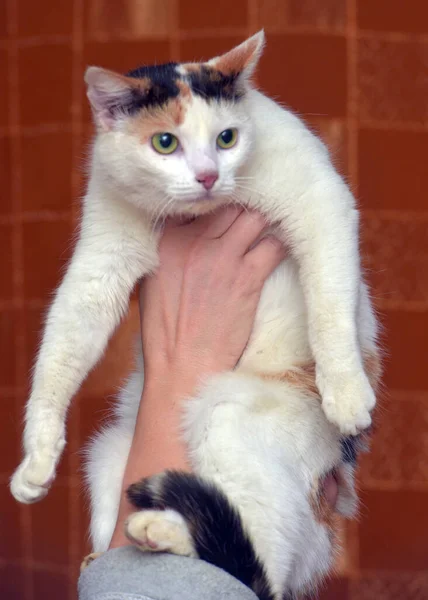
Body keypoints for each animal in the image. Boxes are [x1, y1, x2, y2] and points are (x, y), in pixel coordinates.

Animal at [10, 31, 380, 596]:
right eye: (165, 143)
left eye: (227, 138)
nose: (208, 176)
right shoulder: (102, 251)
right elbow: (62, 344)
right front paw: (37, 457)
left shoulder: (321, 201)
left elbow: (330, 300)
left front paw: (346, 391)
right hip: (109, 451)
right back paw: (124, 546)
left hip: (237, 420)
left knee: (263, 565)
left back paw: (169, 533)